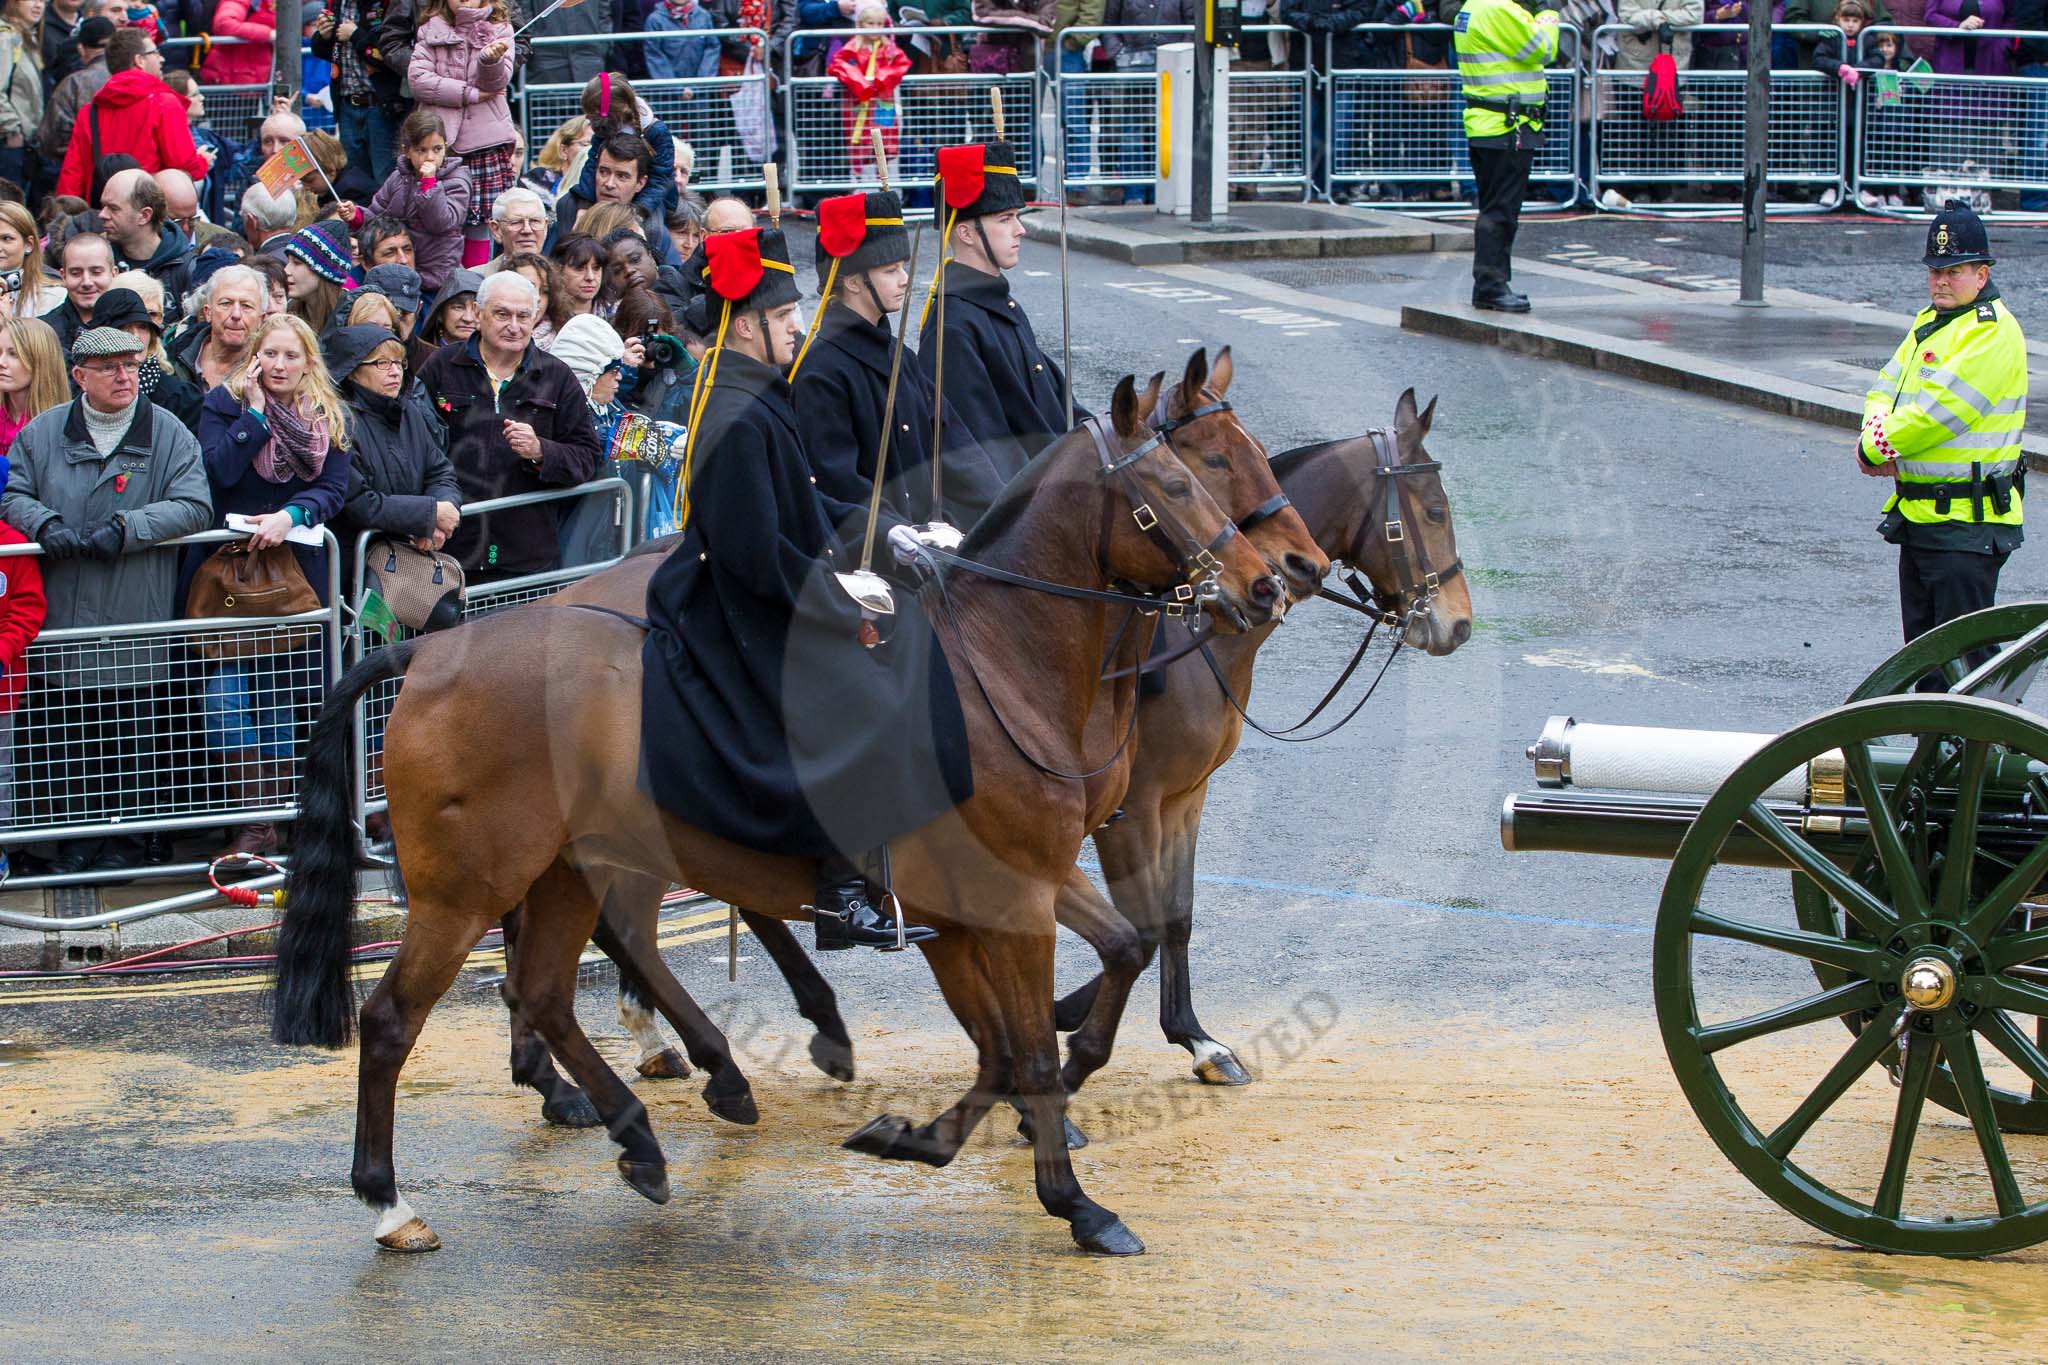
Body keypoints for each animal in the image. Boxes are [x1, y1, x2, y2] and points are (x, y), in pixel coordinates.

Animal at [272, 358, 1327, 1252]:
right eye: (1183, 482)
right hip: (466, 888)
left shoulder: (997, 897)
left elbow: (1069, 993)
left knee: (552, 986)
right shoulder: (1015, 896)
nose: (1272, 581)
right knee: (395, 1020)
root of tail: (433, 650)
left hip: (570, 869)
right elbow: (1028, 1044)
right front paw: (1075, 1200)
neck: (1003, 665)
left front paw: (926, 1137)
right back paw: (392, 1200)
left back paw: (647, 1125)